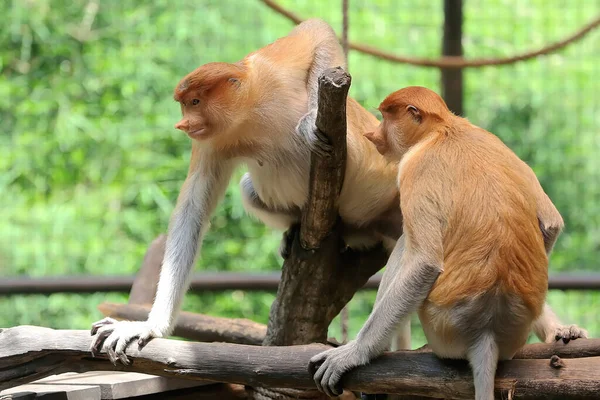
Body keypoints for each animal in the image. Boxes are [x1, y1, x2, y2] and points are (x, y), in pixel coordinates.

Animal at [90, 18, 408, 364]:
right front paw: (149, 325)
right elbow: (193, 208)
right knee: (248, 188)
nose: (183, 125)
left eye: (195, 102)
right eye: (185, 105)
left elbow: (316, 32)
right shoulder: (212, 140)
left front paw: (310, 122)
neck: (248, 113)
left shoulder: (268, 69)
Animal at [310, 86, 584, 398]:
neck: (444, 130)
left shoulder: (413, 168)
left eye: (386, 119)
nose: (374, 134)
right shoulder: (492, 138)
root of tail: (486, 333)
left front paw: (351, 354)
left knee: (406, 246)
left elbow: (424, 263)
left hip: (443, 326)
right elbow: (551, 223)